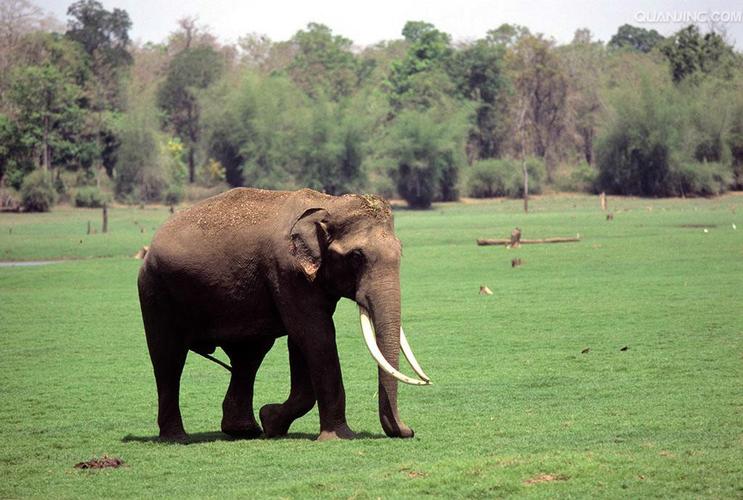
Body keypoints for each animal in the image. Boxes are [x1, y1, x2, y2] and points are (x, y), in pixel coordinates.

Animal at [138, 188, 430, 442]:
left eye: (401, 252)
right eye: (356, 256)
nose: (409, 431)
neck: (326, 204)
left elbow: (301, 342)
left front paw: (270, 420)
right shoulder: (287, 270)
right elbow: (315, 335)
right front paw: (339, 437)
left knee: (248, 356)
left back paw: (244, 431)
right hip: (155, 290)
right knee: (168, 358)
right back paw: (177, 438)